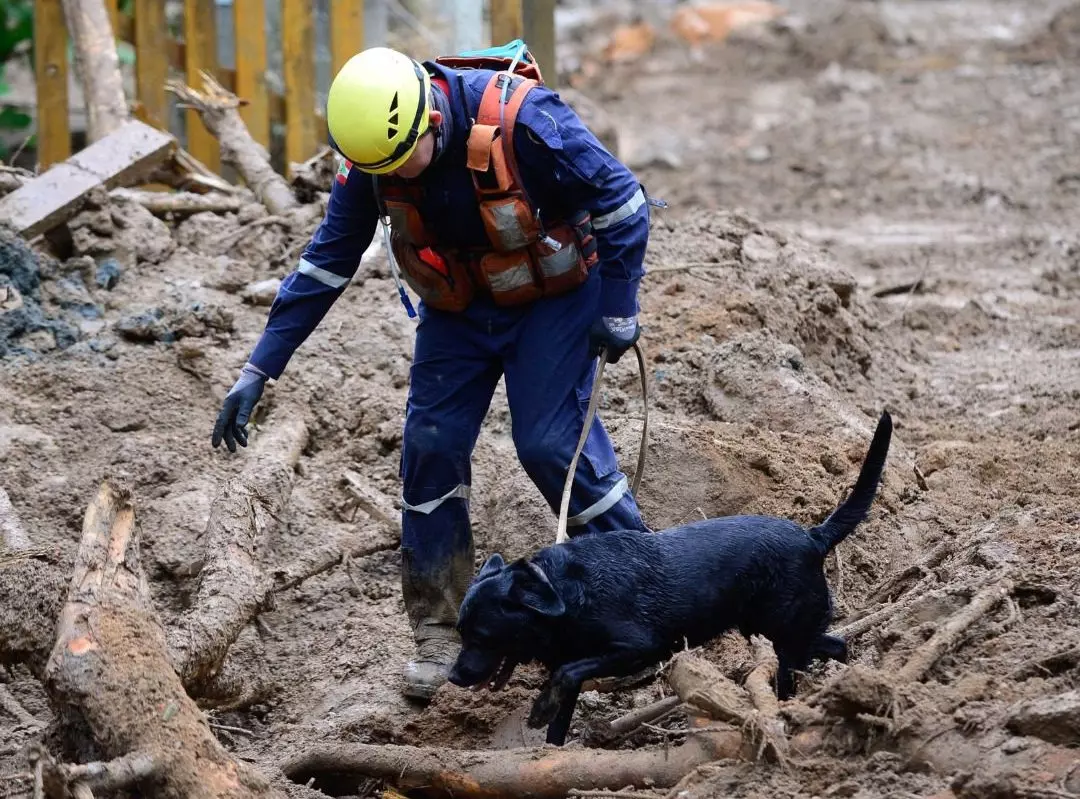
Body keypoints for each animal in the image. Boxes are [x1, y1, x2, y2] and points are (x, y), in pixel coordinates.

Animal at [447, 414, 894, 747]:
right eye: (461, 632)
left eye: (483, 636)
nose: (453, 677)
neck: (567, 592)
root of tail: (814, 536)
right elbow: (561, 710)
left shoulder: (639, 646)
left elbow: (566, 675)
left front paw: (539, 710)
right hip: (777, 628)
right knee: (836, 645)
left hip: (785, 636)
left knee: (800, 669)